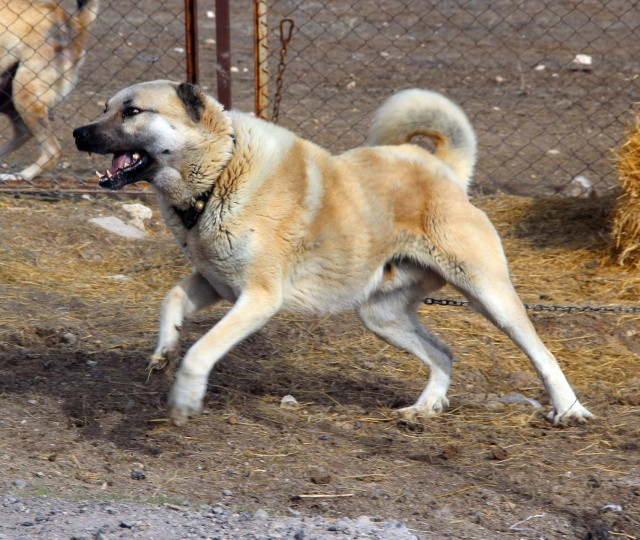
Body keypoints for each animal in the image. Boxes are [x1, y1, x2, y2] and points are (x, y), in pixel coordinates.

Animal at [0, 0, 98, 181]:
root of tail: (75, 23)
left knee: (52, 151)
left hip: (23, 95)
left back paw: (22, 176)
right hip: (10, 98)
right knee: (24, 133)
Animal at [72, 80, 592, 426]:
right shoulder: (212, 283)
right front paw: (163, 352)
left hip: (489, 295)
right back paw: (424, 408)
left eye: (132, 111)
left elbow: (202, 351)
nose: (78, 132)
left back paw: (569, 409)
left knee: (542, 353)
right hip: (381, 317)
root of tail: (445, 170)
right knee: (443, 354)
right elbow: (171, 301)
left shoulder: (258, 299)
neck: (220, 175)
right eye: (105, 107)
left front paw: (184, 398)